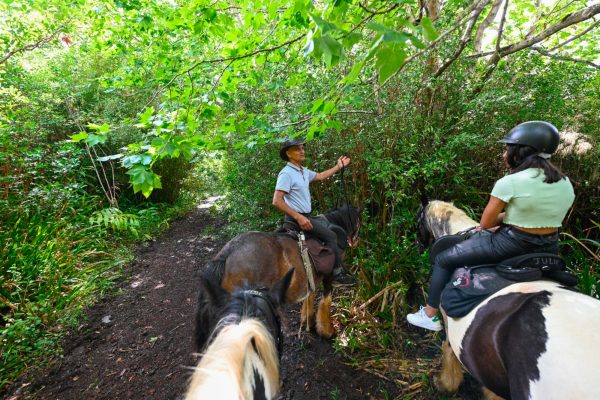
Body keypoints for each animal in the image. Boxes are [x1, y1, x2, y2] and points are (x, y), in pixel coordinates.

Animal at [196, 206, 360, 346]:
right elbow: (326, 300)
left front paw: (308, 321)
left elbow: (310, 294)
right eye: (359, 221)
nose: (356, 241)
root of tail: (227, 253)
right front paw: (327, 331)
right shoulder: (328, 276)